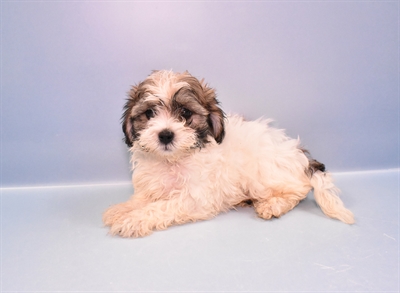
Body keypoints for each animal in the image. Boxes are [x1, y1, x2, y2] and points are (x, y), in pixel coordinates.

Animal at [103, 70, 354, 237]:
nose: (165, 135)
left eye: (185, 113)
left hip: (264, 174)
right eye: (149, 113)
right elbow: (143, 198)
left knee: (298, 189)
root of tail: (299, 154)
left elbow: (164, 206)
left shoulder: (197, 198)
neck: (172, 161)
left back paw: (272, 205)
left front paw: (134, 219)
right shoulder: (152, 184)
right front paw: (122, 209)